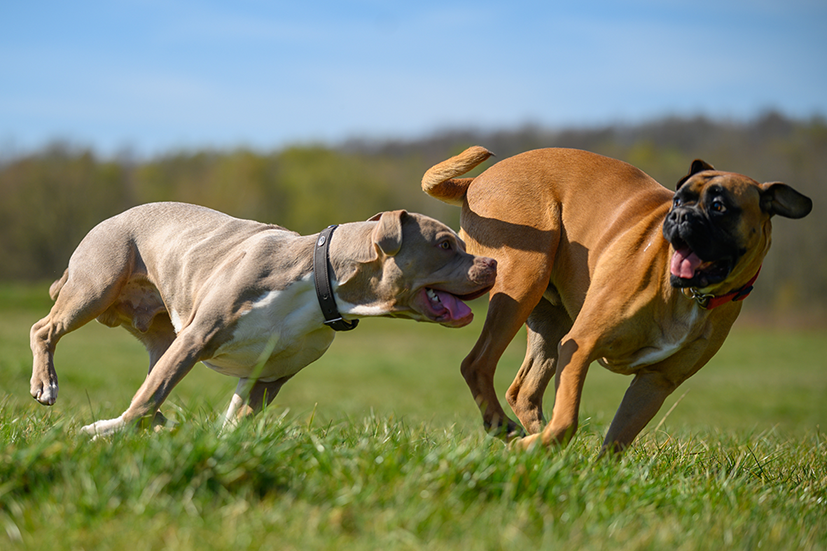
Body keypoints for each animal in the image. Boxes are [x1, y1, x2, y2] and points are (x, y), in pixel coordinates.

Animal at [424, 147, 812, 452]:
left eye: (719, 206)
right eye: (677, 199)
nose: (678, 216)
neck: (688, 294)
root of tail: (476, 181)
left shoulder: (654, 384)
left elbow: (617, 440)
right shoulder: (580, 345)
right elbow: (567, 422)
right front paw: (538, 444)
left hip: (549, 320)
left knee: (524, 391)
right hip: (522, 284)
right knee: (476, 364)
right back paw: (507, 430)